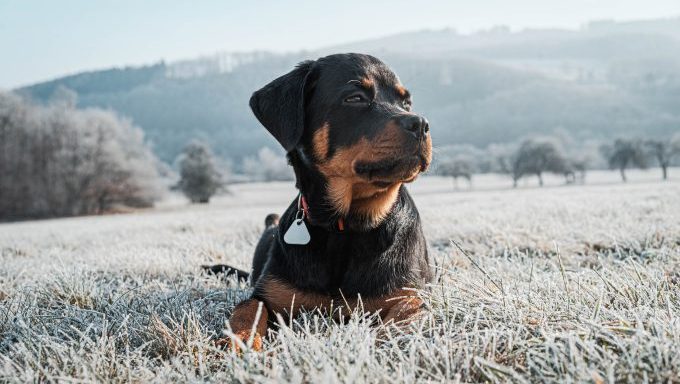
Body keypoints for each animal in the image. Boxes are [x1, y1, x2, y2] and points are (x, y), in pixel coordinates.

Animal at [218, 53, 432, 352]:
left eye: (406, 103)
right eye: (355, 98)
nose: (421, 124)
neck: (345, 227)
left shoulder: (409, 294)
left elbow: (404, 315)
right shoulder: (270, 293)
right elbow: (246, 309)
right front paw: (238, 341)